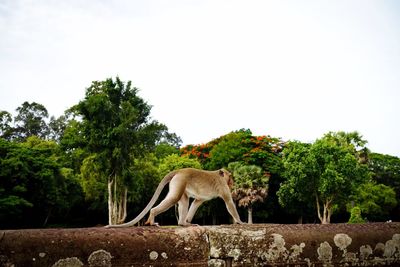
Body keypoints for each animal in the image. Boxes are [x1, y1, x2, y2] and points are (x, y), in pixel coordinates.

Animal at [107, 169, 244, 227]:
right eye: (230, 176)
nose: (232, 182)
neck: (219, 175)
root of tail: (180, 171)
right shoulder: (223, 186)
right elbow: (229, 202)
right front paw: (240, 221)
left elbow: (196, 202)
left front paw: (188, 220)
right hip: (179, 181)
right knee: (174, 198)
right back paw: (152, 218)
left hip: (180, 183)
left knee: (184, 200)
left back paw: (183, 223)